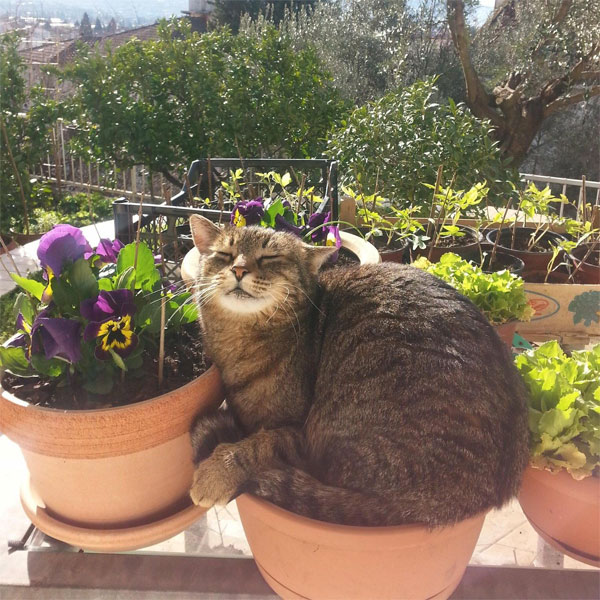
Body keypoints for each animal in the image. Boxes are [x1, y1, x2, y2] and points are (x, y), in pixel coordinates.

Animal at [189, 216, 528, 524]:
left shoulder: (299, 435)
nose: (239, 269)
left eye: (269, 257)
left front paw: (216, 472)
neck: (240, 344)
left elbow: (257, 445)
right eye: (225, 254)